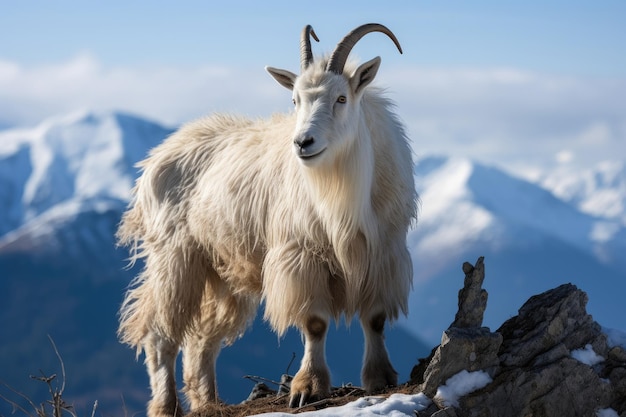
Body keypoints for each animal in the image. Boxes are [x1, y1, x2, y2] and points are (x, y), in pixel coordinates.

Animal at [119, 23, 416, 416]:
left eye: (341, 98)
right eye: (294, 100)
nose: (303, 143)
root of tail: (154, 160)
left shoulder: (384, 253)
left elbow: (375, 318)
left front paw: (381, 378)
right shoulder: (300, 255)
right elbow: (315, 323)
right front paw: (309, 387)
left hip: (222, 272)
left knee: (203, 339)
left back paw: (209, 402)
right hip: (175, 259)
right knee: (161, 335)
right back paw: (166, 406)